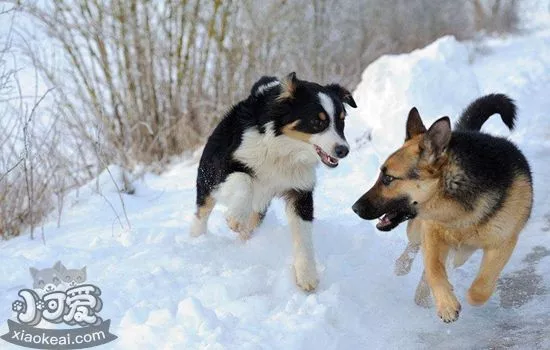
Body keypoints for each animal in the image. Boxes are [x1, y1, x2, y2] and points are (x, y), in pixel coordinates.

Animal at [193, 72, 358, 292]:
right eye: (317, 121)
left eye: (341, 121)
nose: (343, 150)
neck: (285, 149)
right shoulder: (226, 166)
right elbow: (245, 180)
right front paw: (235, 217)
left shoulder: (301, 191)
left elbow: (304, 236)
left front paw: (307, 275)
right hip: (208, 180)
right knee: (201, 213)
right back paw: (197, 240)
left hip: (260, 208)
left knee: (250, 225)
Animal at [354, 93, 536, 322]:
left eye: (388, 178)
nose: (354, 208)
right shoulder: (432, 231)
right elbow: (433, 269)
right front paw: (446, 304)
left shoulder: (503, 242)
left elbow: (480, 289)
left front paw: (464, 296)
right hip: (417, 230)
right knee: (414, 247)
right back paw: (404, 269)